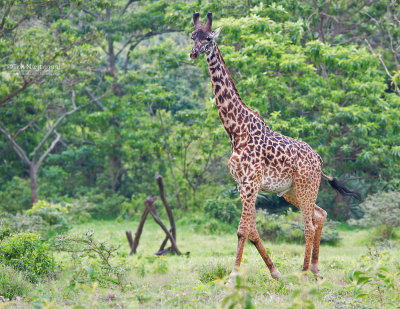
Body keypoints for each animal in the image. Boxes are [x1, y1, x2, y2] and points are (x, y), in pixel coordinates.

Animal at [189, 12, 360, 282]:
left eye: (208, 39)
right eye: (192, 36)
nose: (193, 53)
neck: (235, 130)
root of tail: (319, 159)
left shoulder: (250, 182)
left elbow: (242, 230)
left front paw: (233, 276)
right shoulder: (242, 184)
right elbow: (252, 231)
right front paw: (275, 271)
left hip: (306, 186)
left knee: (309, 224)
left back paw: (303, 274)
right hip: (291, 191)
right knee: (320, 215)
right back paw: (315, 269)